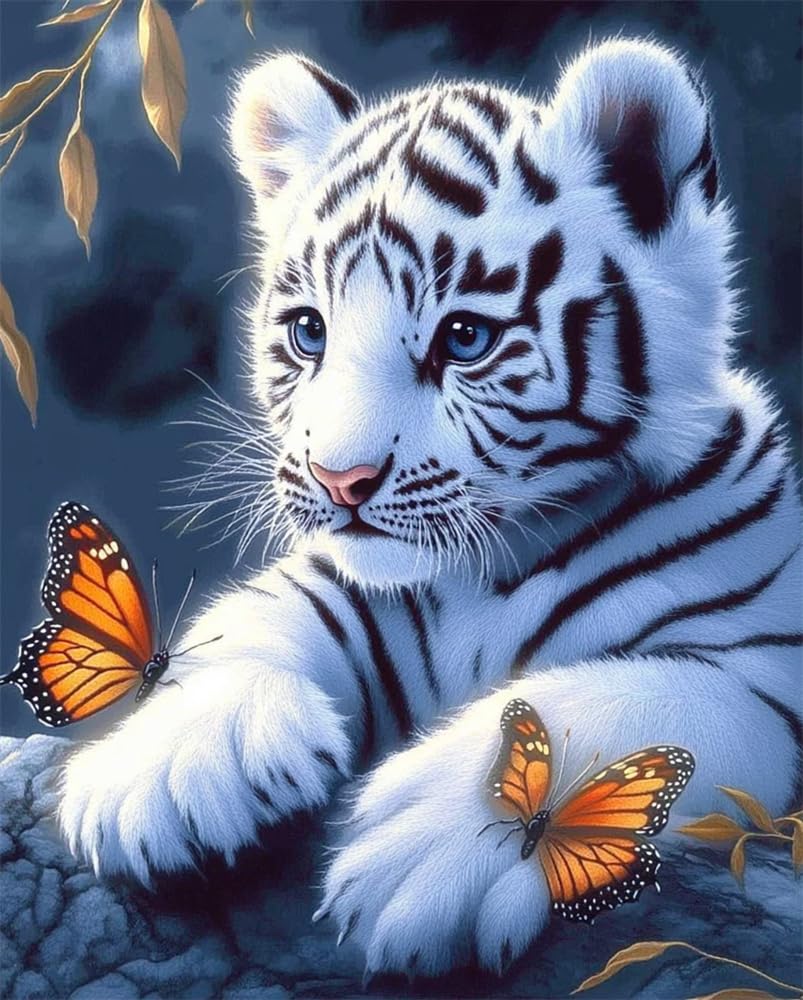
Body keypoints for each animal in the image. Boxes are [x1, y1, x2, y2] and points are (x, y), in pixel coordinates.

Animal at [59, 38, 802, 976]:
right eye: (310, 332)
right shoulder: (342, 587)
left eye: (465, 339)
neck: (493, 566)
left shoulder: (758, 676)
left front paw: (427, 852)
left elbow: (607, 699)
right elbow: (243, 622)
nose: (340, 479)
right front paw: (170, 765)